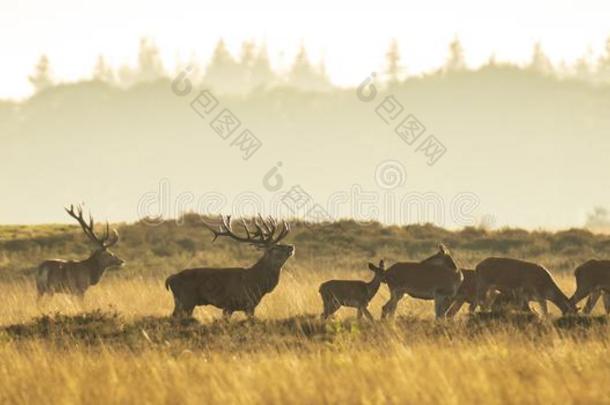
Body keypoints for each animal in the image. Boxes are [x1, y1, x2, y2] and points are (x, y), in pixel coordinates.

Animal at [164, 215, 292, 318]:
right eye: (275, 247)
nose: (291, 247)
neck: (257, 284)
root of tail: (170, 278)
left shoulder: (249, 306)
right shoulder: (232, 304)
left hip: (182, 301)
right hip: (186, 299)